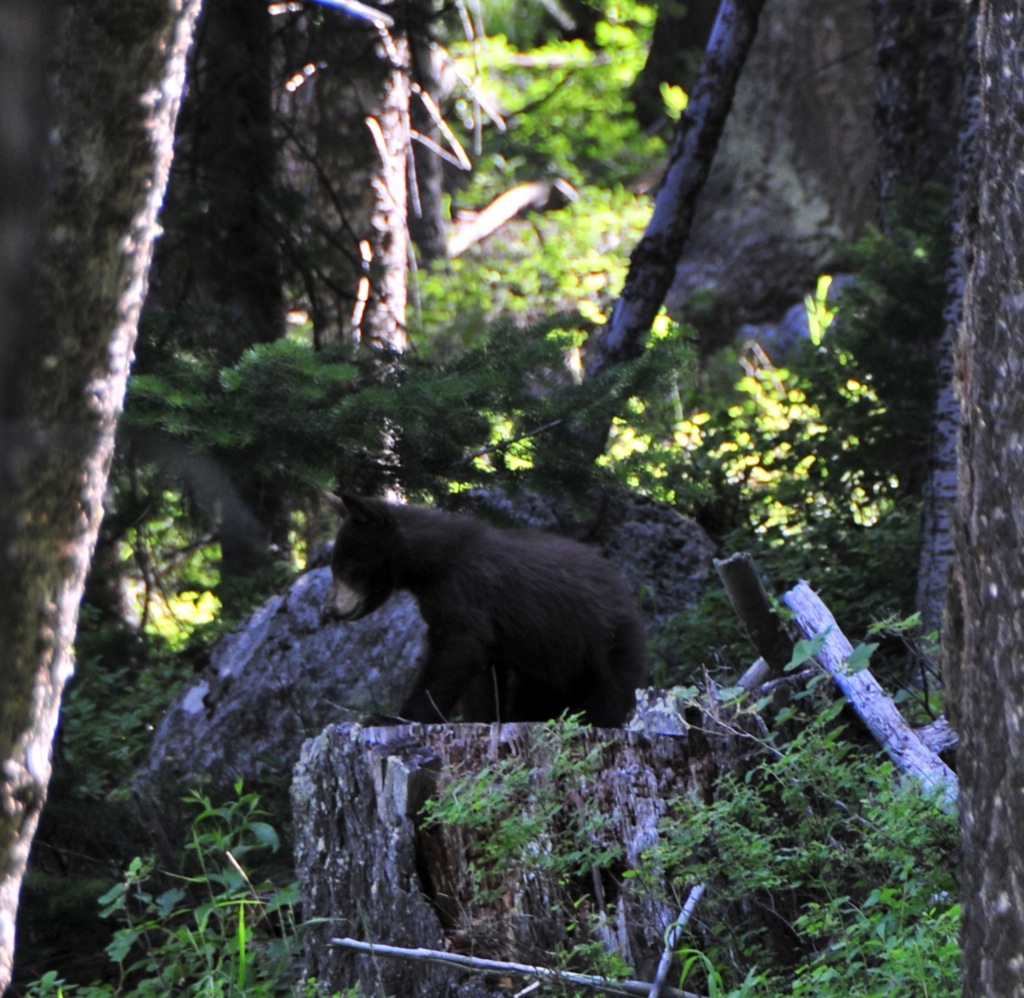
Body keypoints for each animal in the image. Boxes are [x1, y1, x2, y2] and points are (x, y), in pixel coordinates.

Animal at [322, 493, 648, 725]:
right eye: (335, 566)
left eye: (346, 568)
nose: (330, 609)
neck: (435, 562)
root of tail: (627, 594)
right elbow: (482, 678)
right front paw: (485, 718)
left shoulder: (467, 592)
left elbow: (456, 650)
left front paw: (392, 718)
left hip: (606, 644)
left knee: (610, 694)